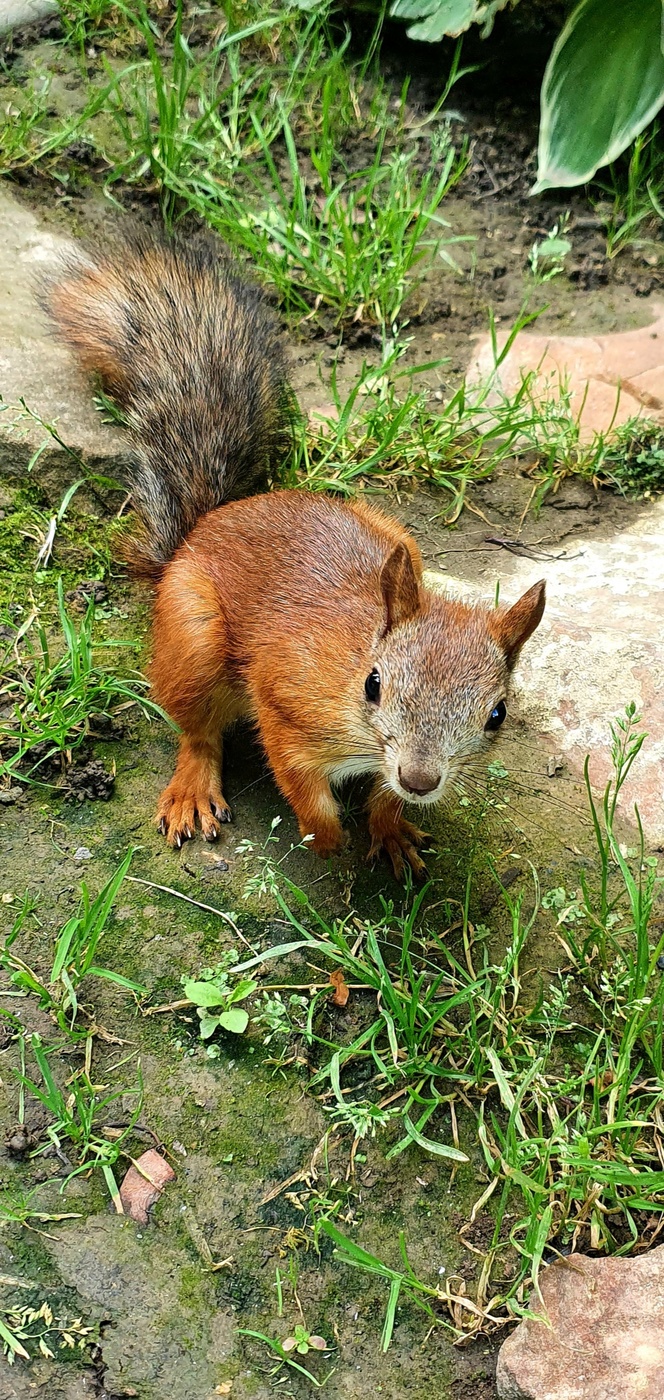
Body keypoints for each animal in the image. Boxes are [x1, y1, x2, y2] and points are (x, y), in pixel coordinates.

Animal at [46, 231, 546, 878]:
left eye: (497, 714)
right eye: (374, 685)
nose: (421, 779)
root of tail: (199, 529)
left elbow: (384, 800)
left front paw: (391, 830)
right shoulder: (284, 703)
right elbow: (300, 784)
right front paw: (328, 839)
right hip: (193, 636)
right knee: (196, 732)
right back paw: (192, 789)